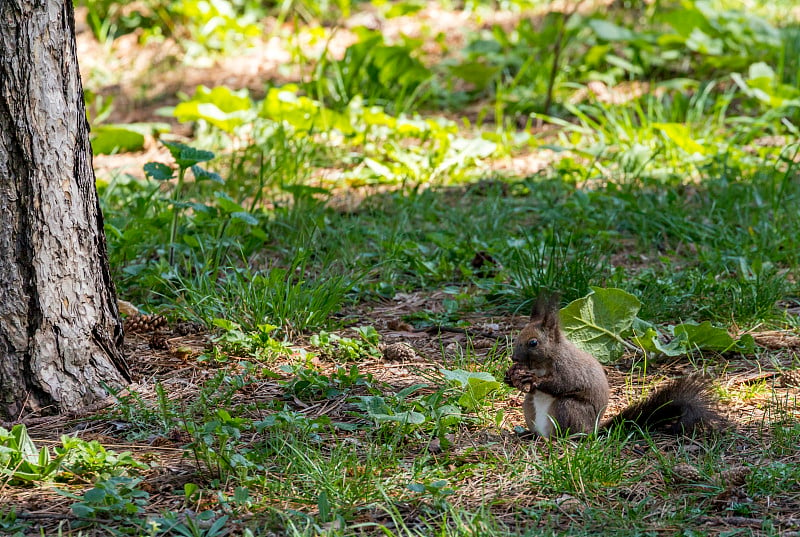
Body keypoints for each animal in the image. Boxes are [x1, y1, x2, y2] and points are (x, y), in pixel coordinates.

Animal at [504, 296, 720, 438]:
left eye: (533, 343)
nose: (514, 358)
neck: (543, 362)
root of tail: (594, 430)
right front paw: (510, 377)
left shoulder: (569, 368)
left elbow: (562, 384)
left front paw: (534, 379)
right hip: (529, 407)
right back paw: (529, 435)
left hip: (568, 408)